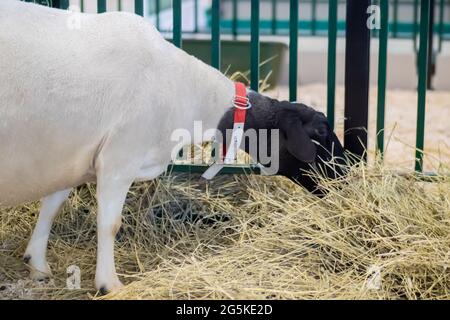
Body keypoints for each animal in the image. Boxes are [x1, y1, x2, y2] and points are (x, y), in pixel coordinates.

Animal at [0, 0, 344, 296]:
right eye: (321, 133)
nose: (346, 176)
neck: (183, 89)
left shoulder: (76, 156)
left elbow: (53, 202)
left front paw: (37, 263)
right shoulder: (119, 157)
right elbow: (109, 224)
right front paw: (109, 284)